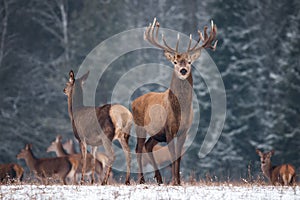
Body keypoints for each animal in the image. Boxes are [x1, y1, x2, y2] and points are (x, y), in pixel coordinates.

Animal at [132, 18, 217, 185]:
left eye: (189, 62)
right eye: (175, 62)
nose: (183, 70)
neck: (181, 110)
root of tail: (133, 102)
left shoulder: (184, 131)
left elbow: (178, 156)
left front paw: (178, 181)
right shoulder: (169, 130)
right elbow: (172, 156)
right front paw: (173, 181)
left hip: (156, 133)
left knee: (148, 146)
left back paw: (158, 178)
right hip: (140, 126)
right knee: (138, 149)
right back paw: (141, 179)